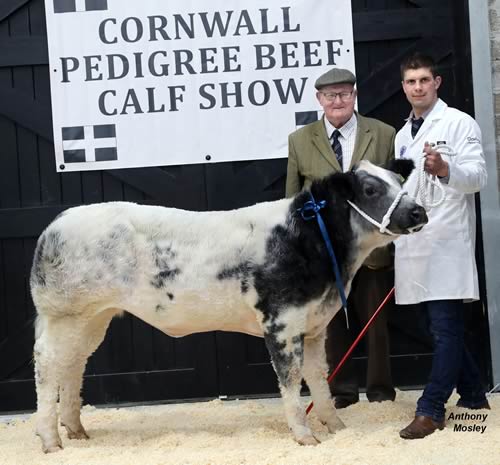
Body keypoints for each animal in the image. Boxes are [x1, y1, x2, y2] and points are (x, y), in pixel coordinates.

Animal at [32, 160, 426, 454]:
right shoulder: (281, 323)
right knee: (49, 365)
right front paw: (305, 436)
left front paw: (337, 427)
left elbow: (318, 377)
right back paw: (51, 441)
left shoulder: (315, 324)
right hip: (65, 314)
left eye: (399, 180)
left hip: (92, 318)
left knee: (74, 364)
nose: (418, 210)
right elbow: (290, 380)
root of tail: (56, 224)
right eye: (371, 190)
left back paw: (76, 430)